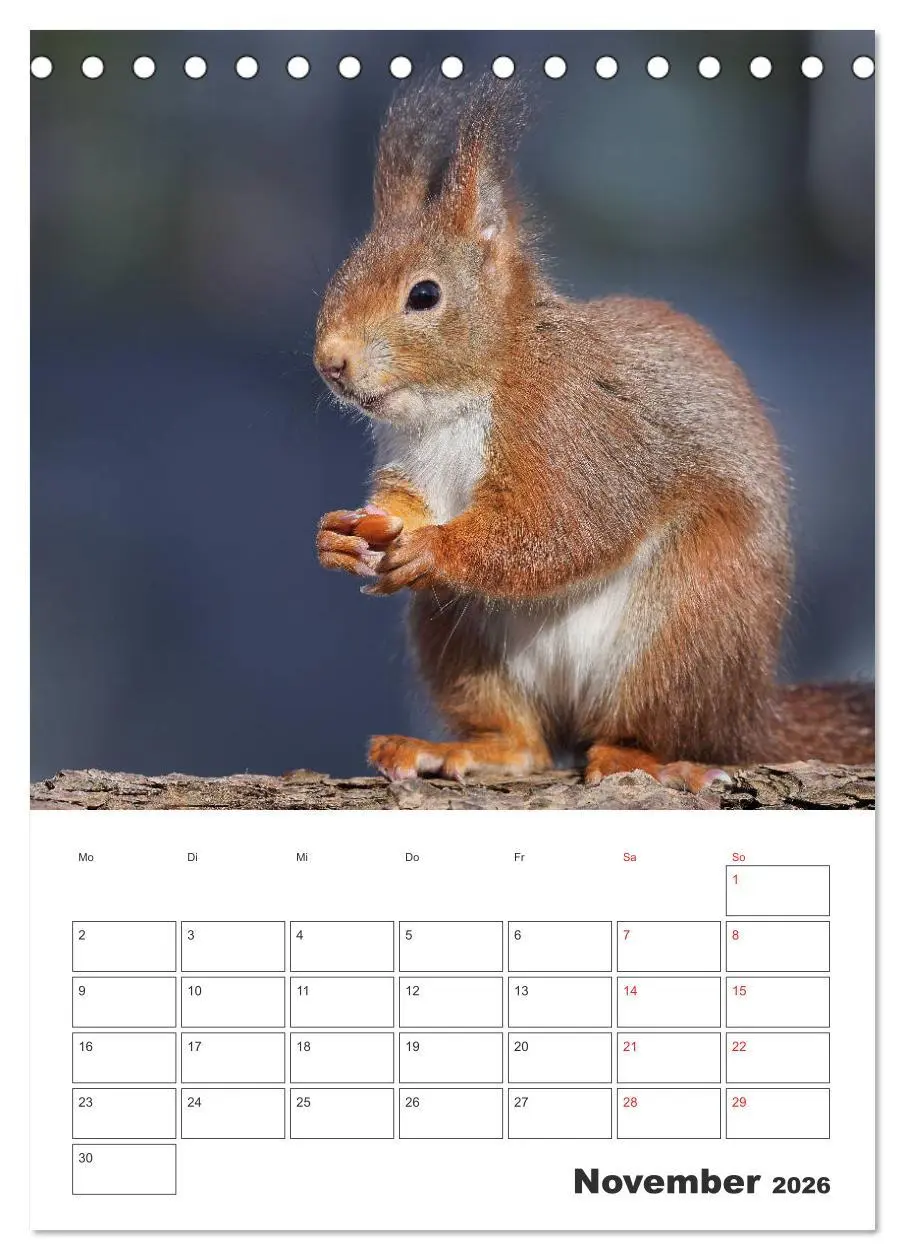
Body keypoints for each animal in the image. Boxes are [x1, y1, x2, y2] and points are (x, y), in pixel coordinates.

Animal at [313, 76, 874, 791]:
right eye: (343, 272)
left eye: (425, 295)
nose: (330, 361)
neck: (454, 406)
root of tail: (750, 713)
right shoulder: (407, 460)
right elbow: (401, 506)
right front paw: (340, 537)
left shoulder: (576, 430)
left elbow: (566, 525)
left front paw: (437, 549)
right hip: (455, 634)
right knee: (526, 741)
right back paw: (462, 748)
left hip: (694, 616)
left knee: (666, 726)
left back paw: (646, 759)